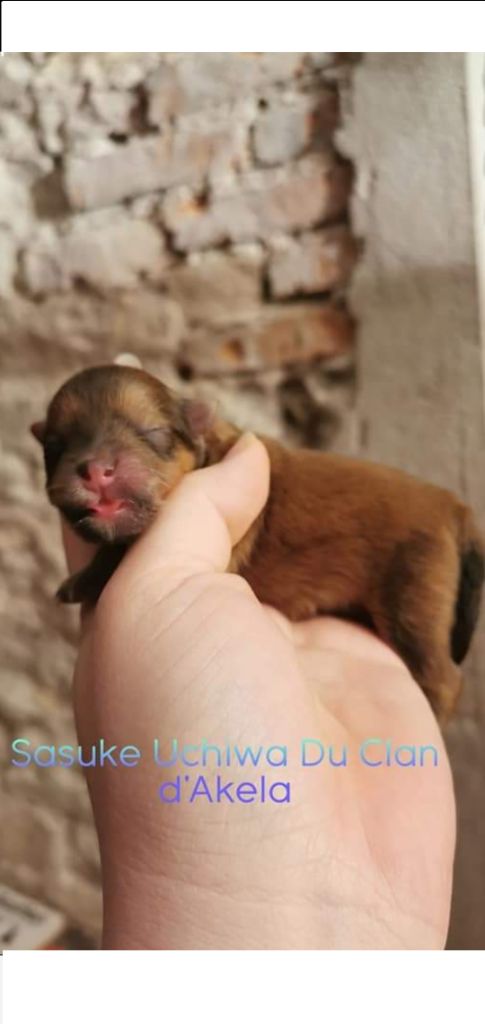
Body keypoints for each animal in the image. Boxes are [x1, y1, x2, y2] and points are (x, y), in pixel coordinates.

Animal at [32, 366, 482, 720]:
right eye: (55, 446)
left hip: (413, 593)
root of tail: (456, 507)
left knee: (444, 676)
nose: (95, 470)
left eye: (152, 432)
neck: (208, 449)